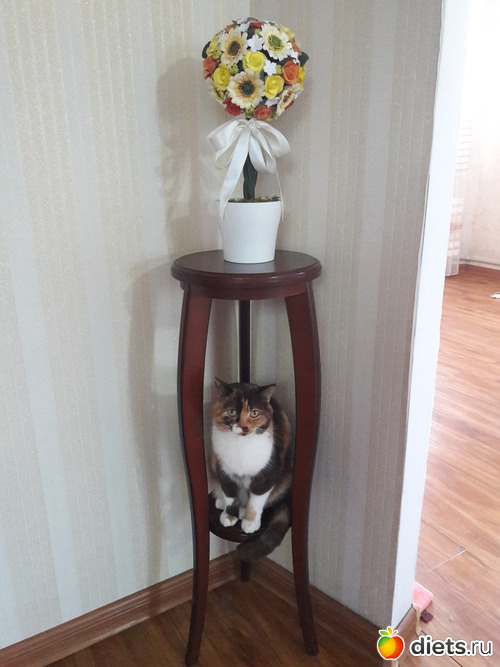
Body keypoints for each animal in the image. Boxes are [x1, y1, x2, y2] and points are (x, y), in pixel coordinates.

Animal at [209, 378, 293, 562]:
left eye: (254, 413)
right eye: (232, 412)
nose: (244, 427)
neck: (241, 444)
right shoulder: (223, 468)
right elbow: (230, 493)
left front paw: (250, 522)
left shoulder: (267, 471)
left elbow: (257, 499)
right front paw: (229, 515)